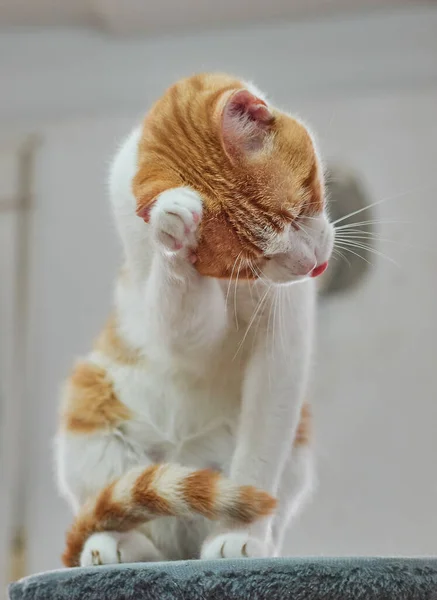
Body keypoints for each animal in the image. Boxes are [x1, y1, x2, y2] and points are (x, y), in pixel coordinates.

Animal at [54, 72, 334, 568]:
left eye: (302, 204)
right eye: (251, 264)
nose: (314, 267)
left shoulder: (281, 351)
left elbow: (258, 462)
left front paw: (241, 535)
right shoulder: (181, 324)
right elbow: (181, 319)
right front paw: (173, 224)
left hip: (295, 448)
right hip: (90, 410)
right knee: (125, 514)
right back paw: (115, 547)